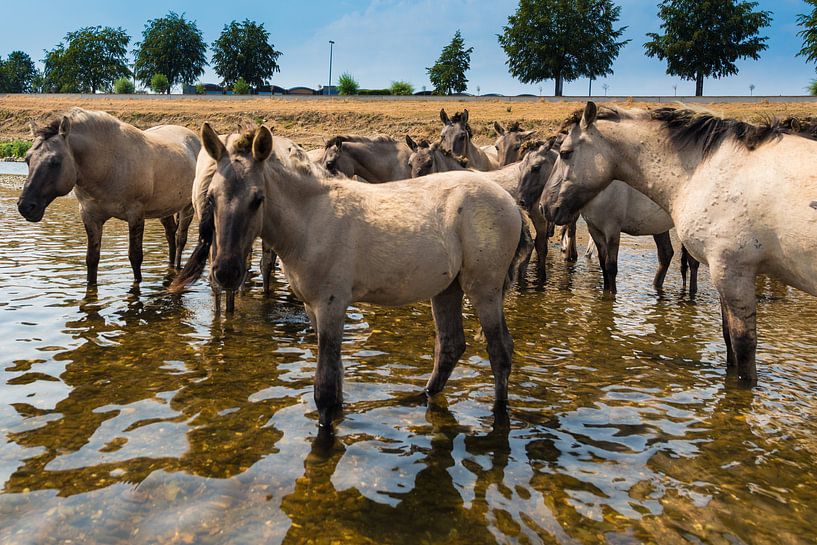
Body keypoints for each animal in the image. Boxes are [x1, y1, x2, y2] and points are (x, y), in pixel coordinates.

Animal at [17, 108, 199, 282]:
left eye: (55, 162)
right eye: (27, 159)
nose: (25, 206)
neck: (108, 165)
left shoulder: (135, 215)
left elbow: (135, 257)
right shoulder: (90, 216)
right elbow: (92, 259)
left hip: (187, 207)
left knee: (180, 239)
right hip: (165, 209)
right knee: (171, 235)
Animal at [173, 123, 528, 430]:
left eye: (257, 199)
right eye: (211, 197)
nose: (226, 272)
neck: (311, 220)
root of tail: (512, 202)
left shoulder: (332, 304)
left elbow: (326, 389)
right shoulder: (311, 308)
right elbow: (336, 379)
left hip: (484, 288)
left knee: (500, 351)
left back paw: (499, 415)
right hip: (447, 288)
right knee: (450, 346)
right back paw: (420, 399)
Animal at [540, 101, 816, 382]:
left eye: (565, 153)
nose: (544, 206)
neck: (705, 170)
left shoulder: (731, 271)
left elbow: (742, 345)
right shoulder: (596, 230)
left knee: (684, 263)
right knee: (668, 257)